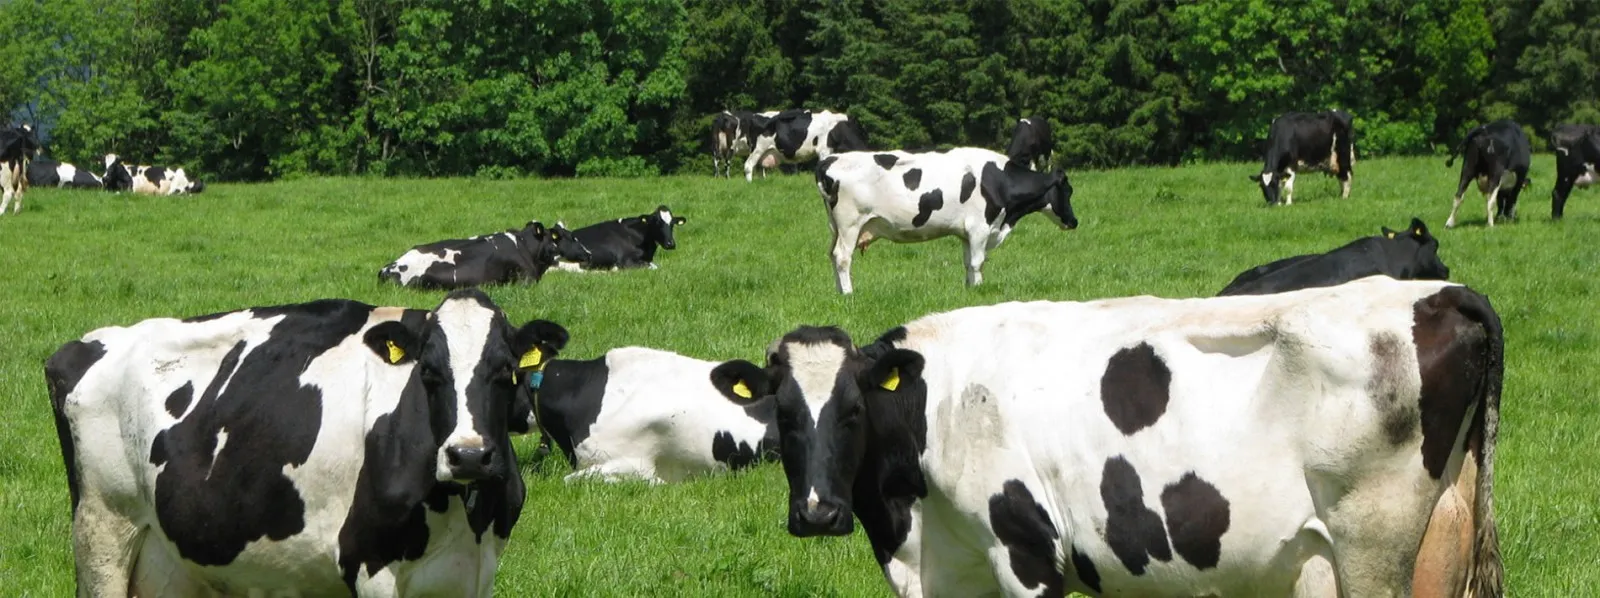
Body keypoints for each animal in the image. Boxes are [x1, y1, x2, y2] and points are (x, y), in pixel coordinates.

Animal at [45, 289, 570, 596]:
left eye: (506, 370)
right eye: (428, 371)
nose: (469, 456)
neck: (465, 510)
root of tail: (87, 343)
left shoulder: (476, 571)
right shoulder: (370, 565)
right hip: (102, 532)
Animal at [709, 277, 1503, 597]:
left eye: (852, 412)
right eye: (782, 414)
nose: (817, 513)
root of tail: (1438, 291)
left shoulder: (1027, 552)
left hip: (1375, 548)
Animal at [815, 147, 1077, 294]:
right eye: (1068, 191)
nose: (1074, 222)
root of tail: (829, 160)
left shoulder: (966, 233)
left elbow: (968, 262)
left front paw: (970, 289)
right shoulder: (980, 228)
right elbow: (978, 262)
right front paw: (979, 288)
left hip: (835, 227)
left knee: (831, 255)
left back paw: (838, 292)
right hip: (850, 224)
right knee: (842, 257)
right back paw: (848, 293)